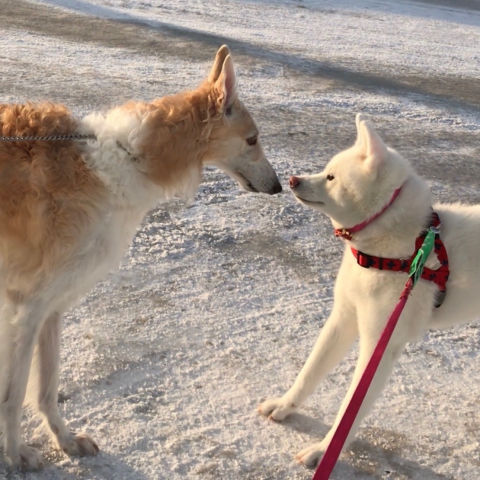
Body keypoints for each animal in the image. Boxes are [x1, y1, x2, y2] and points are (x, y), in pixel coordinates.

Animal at [262, 112, 480, 464]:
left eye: (331, 177)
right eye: (326, 169)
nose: (293, 179)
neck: (402, 251)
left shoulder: (380, 346)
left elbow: (348, 411)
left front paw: (323, 451)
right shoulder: (342, 318)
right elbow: (309, 372)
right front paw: (285, 406)